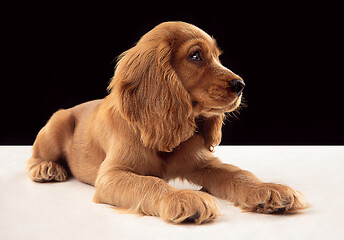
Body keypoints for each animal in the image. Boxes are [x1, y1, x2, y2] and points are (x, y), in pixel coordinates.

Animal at [26, 21, 306, 224]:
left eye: (217, 57)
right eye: (196, 56)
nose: (241, 85)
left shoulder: (203, 164)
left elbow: (239, 173)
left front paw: (268, 190)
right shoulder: (112, 175)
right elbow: (150, 182)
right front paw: (183, 198)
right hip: (57, 123)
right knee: (35, 156)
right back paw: (46, 168)